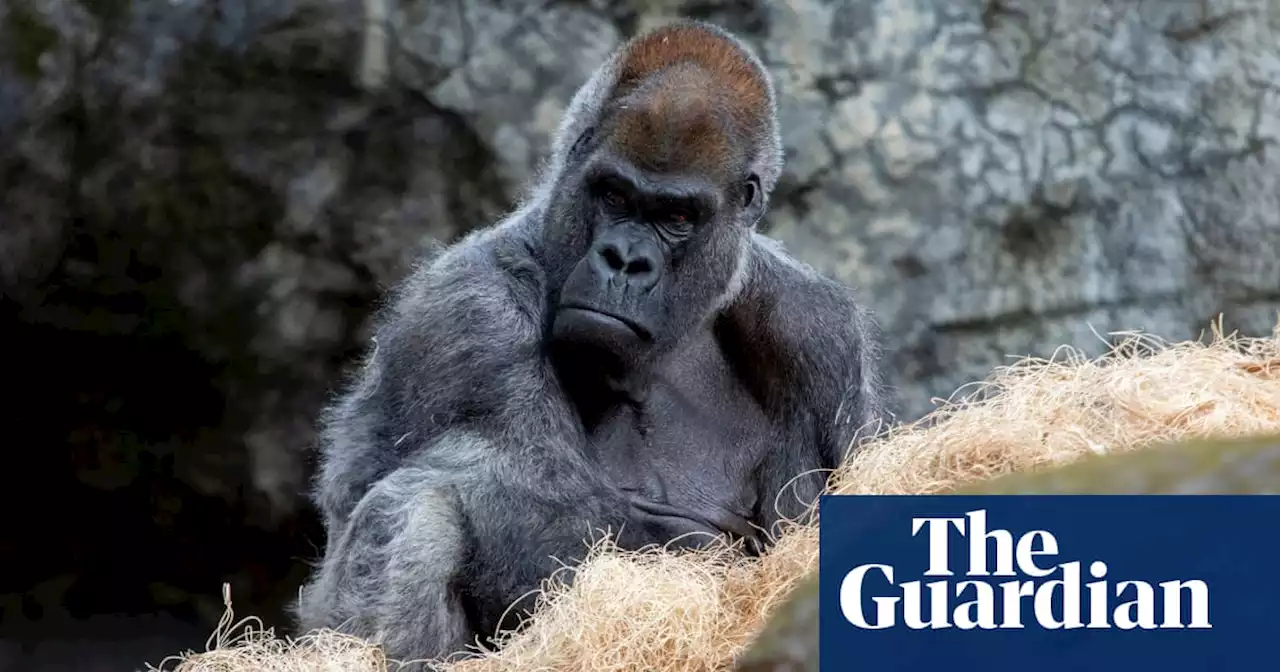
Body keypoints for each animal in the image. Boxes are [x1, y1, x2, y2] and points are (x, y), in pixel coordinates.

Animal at [294, 18, 885, 660]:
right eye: (615, 196)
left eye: (677, 218)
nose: (624, 260)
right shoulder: (470, 309)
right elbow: (550, 535)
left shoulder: (818, 331)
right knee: (413, 510)